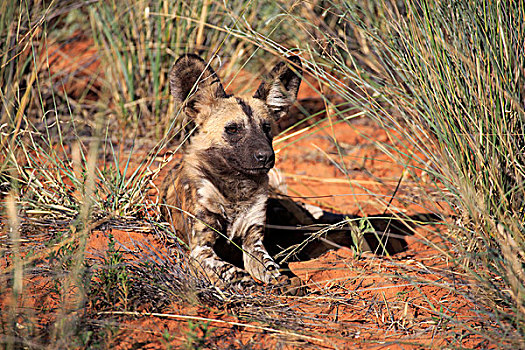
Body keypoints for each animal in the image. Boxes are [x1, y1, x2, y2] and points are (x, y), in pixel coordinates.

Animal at [159, 53, 298, 286]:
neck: (236, 187)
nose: (266, 156)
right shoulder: (201, 249)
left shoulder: (253, 243)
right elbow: (233, 272)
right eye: (232, 129)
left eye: (267, 128)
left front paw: (285, 283)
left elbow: (272, 269)